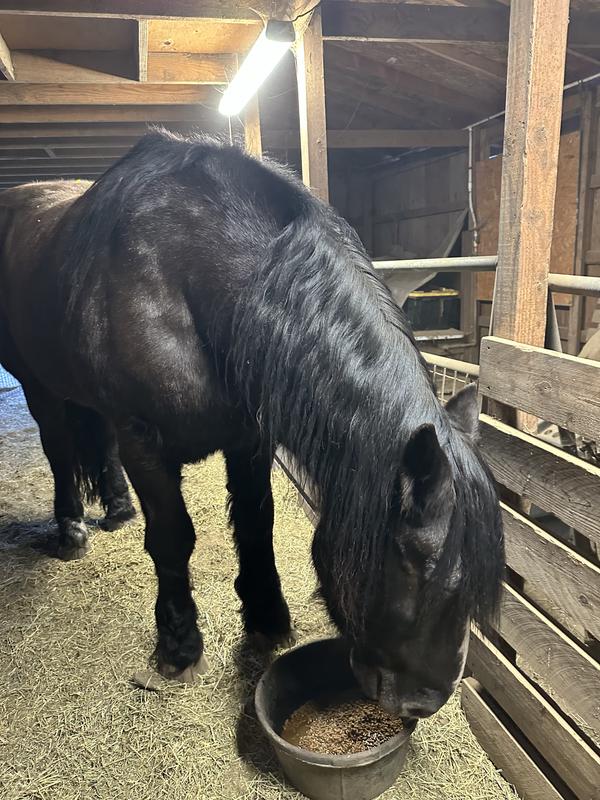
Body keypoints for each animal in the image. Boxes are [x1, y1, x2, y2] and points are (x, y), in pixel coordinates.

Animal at [0, 131, 503, 718]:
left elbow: (256, 525)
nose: (423, 704)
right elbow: (172, 538)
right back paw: (71, 530)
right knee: (59, 448)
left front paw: (267, 618)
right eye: (415, 564)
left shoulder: (250, 438)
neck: (187, 275)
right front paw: (179, 649)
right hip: (39, 384)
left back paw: (118, 509)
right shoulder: (144, 439)